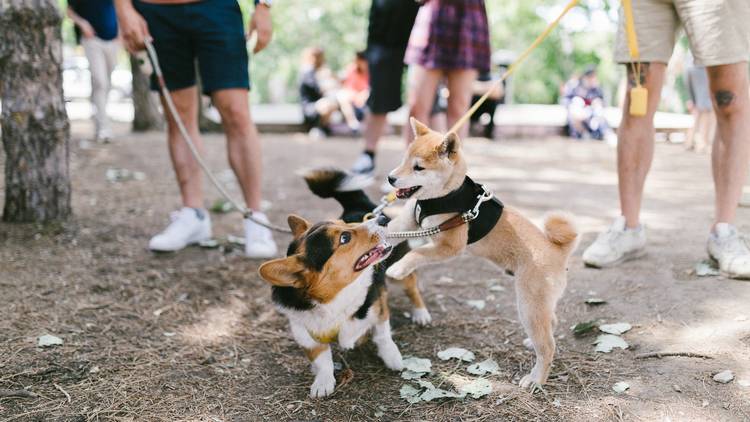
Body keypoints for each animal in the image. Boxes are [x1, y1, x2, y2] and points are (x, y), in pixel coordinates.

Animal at [258, 216, 406, 398]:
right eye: (344, 238)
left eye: (343, 223)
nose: (383, 218)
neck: (334, 298)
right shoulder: (303, 333)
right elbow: (322, 359)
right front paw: (322, 382)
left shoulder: (378, 303)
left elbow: (382, 334)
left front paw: (392, 356)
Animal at [388, 117, 580, 390]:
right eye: (404, 159)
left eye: (418, 168)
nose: (390, 178)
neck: (443, 197)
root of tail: (558, 250)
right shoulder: (406, 223)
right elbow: (384, 231)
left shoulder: (450, 246)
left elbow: (418, 254)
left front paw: (398, 268)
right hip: (539, 304)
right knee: (550, 323)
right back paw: (531, 344)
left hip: (528, 304)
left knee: (548, 346)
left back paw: (535, 379)